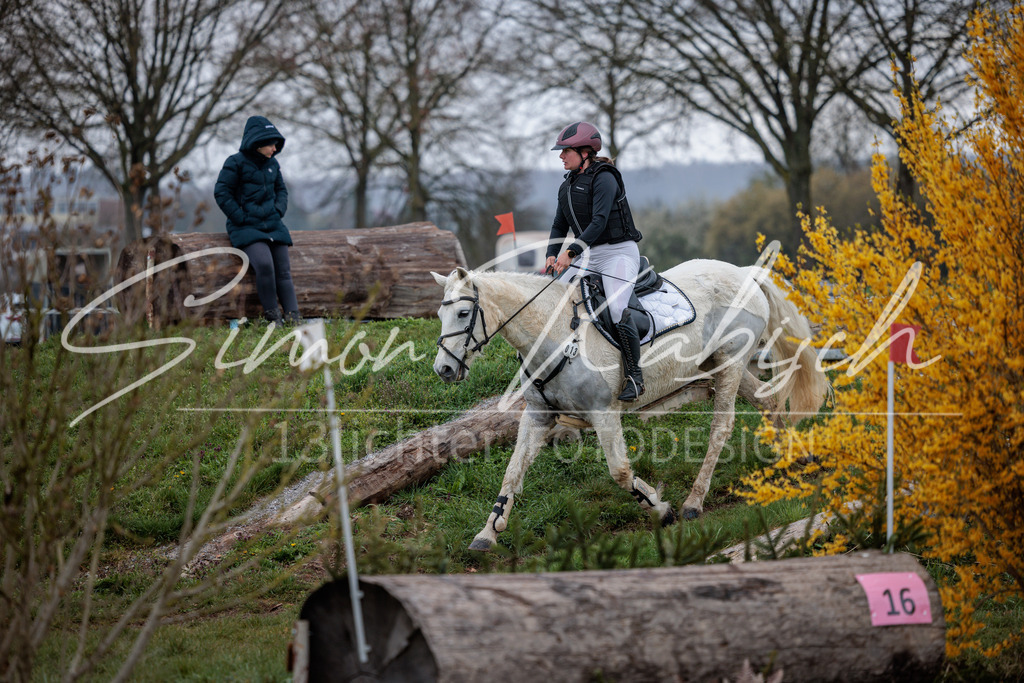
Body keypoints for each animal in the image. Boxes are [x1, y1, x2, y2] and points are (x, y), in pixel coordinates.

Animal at [431, 258, 828, 551]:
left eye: (463, 315)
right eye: (440, 315)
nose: (444, 370)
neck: (554, 333)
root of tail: (744, 272)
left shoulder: (604, 413)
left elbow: (621, 472)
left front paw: (661, 509)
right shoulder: (538, 416)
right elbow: (513, 471)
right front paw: (488, 533)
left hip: (730, 363)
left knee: (722, 426)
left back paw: (693, 503)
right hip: (718, 364)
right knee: (768, 400)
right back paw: (796, 456)